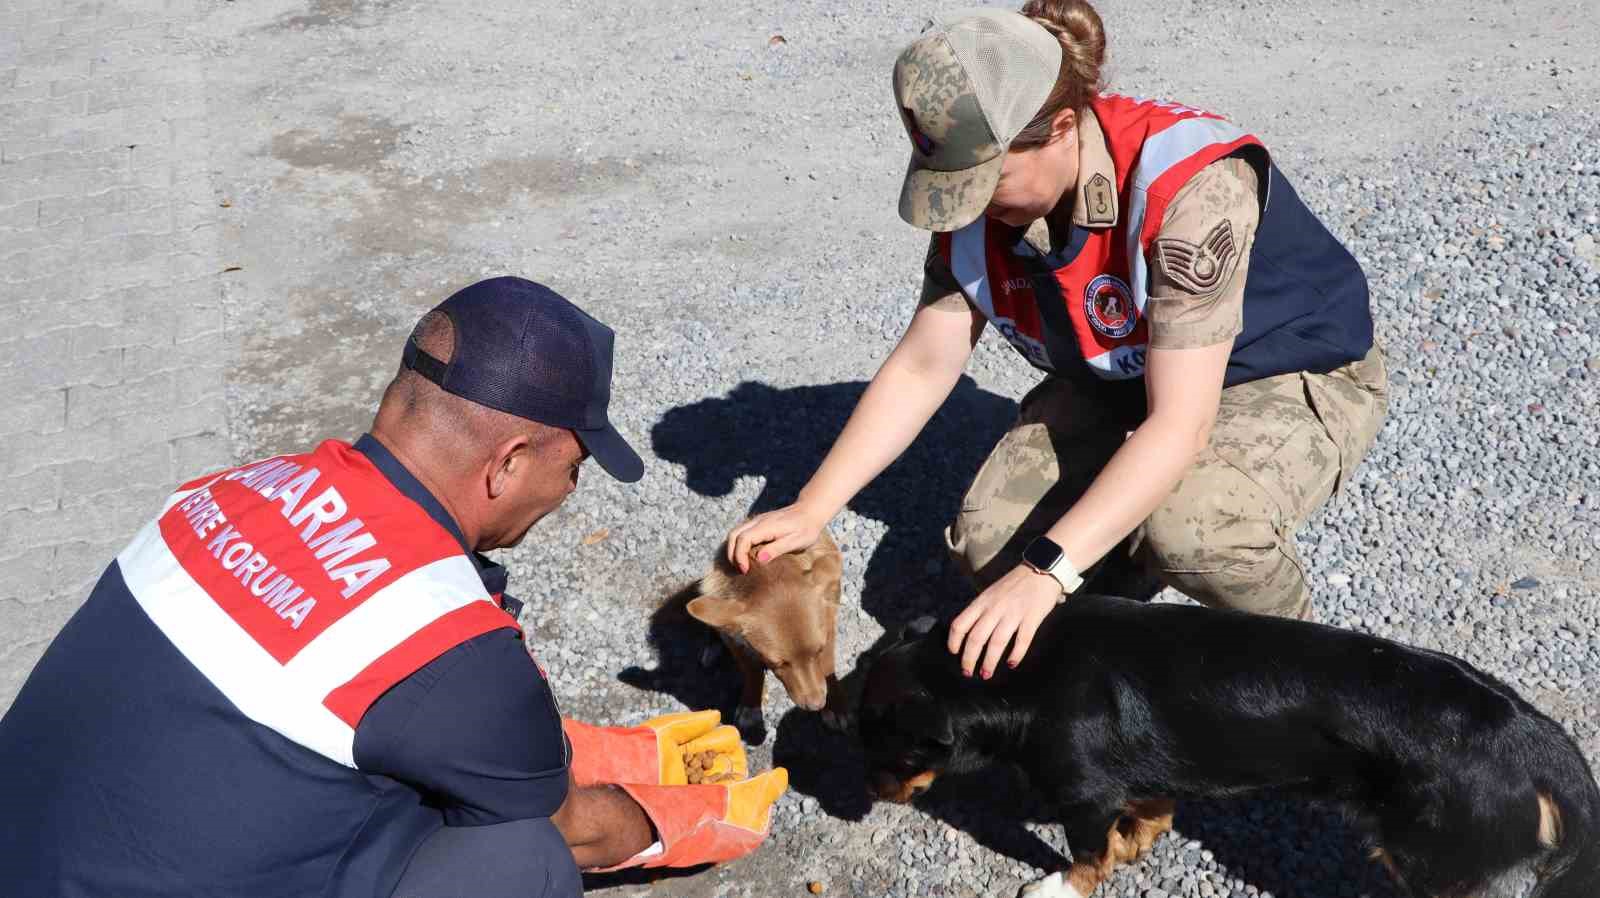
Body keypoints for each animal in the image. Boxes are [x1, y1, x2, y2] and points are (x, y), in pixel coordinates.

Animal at [681, 528, 844, 739]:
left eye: (819, 650)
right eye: (776, 664)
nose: (816, 705)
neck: (765, 569)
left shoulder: (829, 627)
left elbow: (827, 666)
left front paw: (835, 707)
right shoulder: (737, 642)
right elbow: (752, 672)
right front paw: (751, 708)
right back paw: (712, 645)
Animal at [864, 595, 1600, 896]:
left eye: (891, 751)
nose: (868, 791)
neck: (1018, 669)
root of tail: (1530, 736)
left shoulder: (1082, 795)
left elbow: (1086, 857)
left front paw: (1060, 886)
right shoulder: (1147, 777)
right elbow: (1146, 817)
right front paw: (1136, 846)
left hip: (1429, 859)